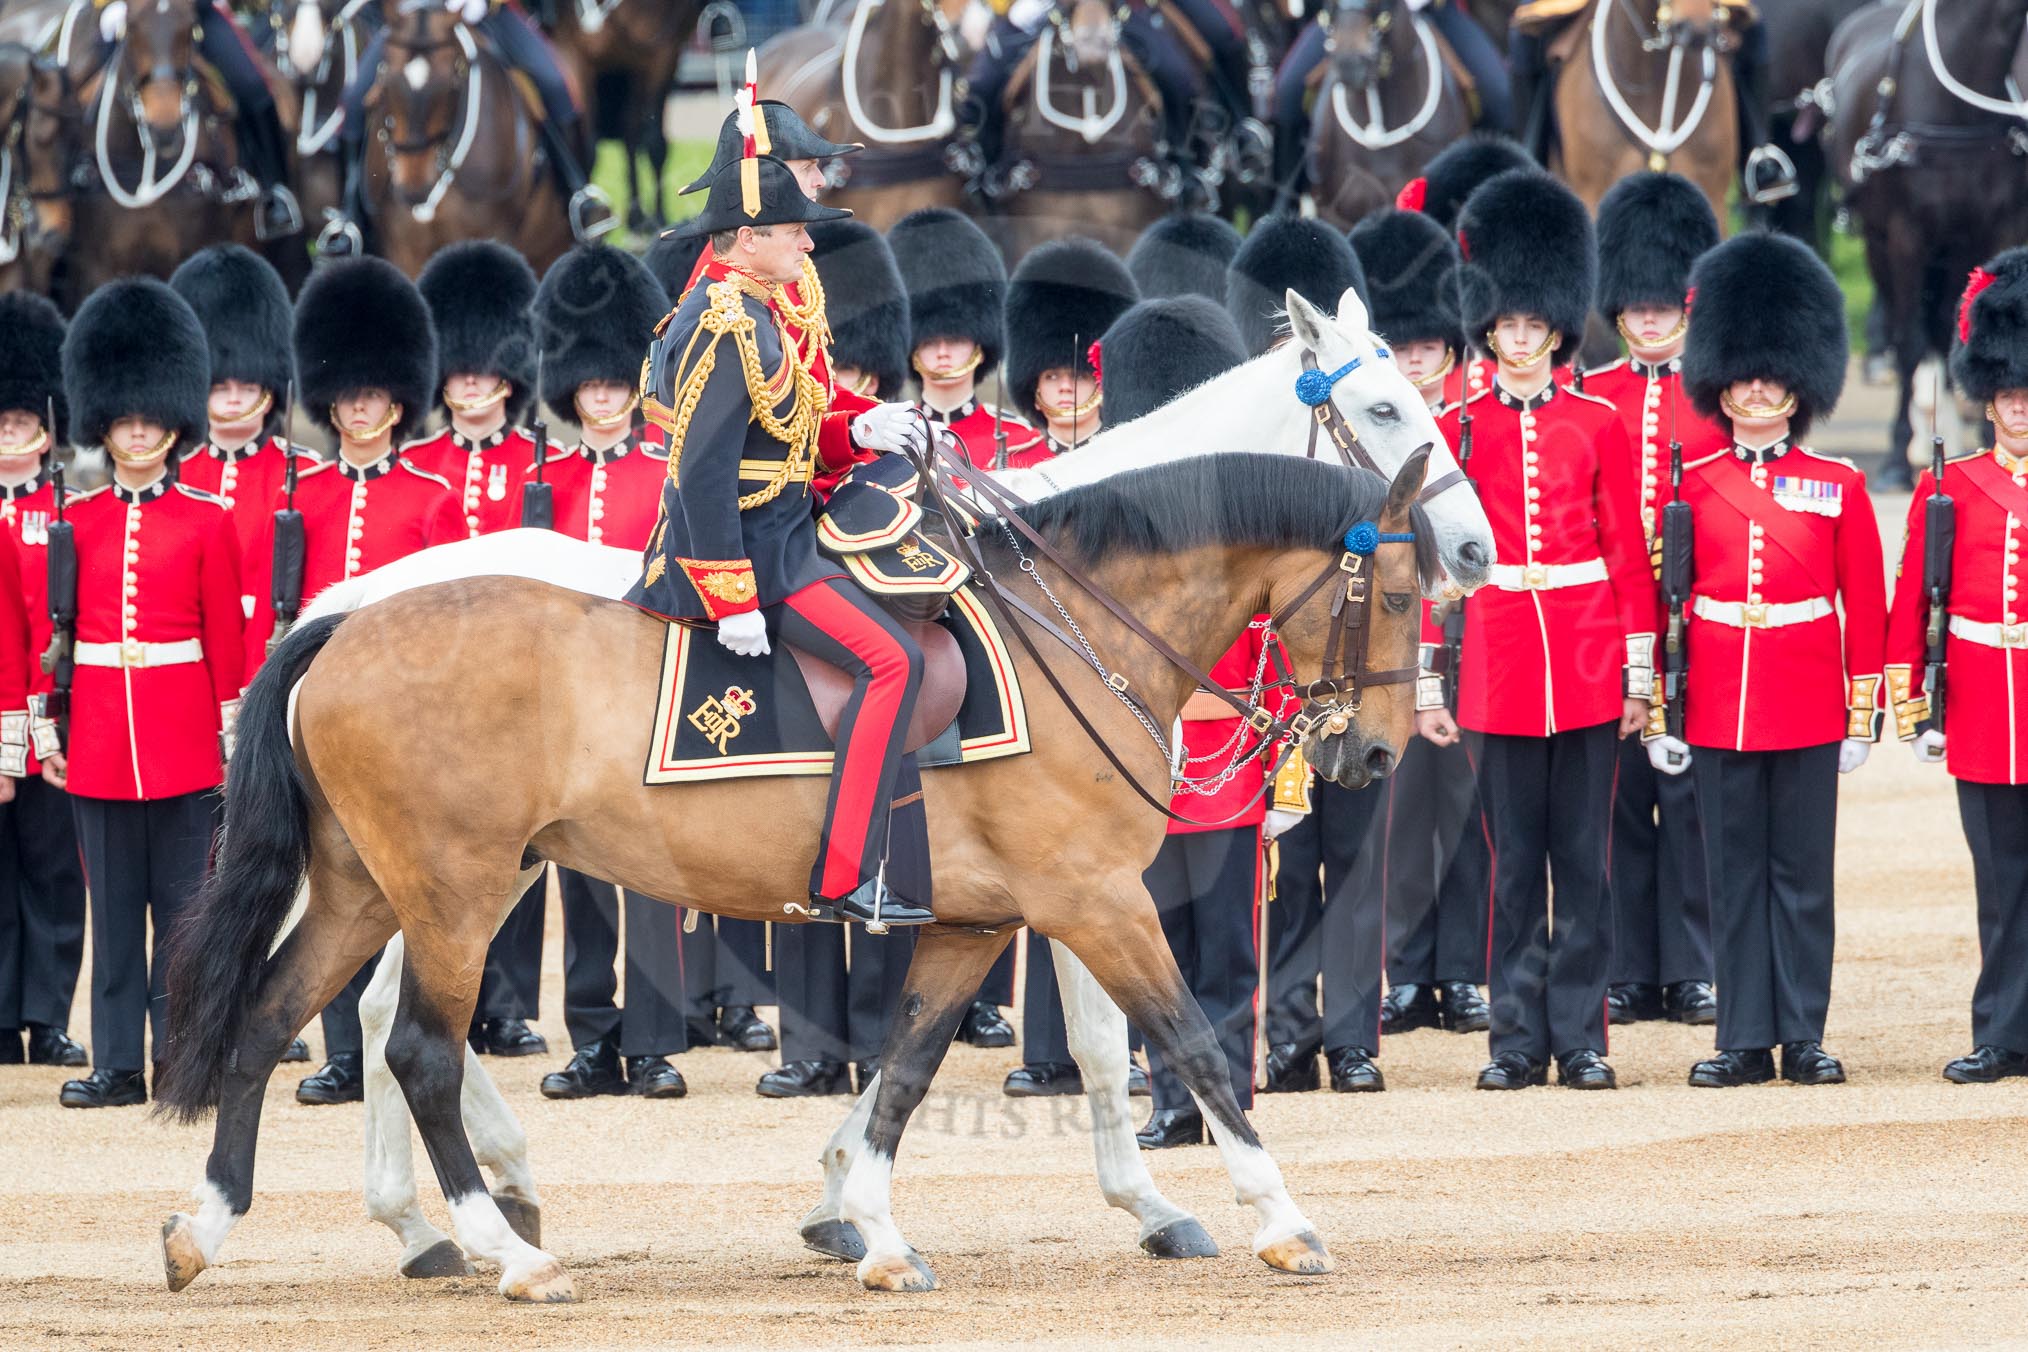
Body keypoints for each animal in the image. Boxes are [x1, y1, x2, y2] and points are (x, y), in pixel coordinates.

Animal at [171, 286, 1493, 1288]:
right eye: (1384, 406)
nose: (1379, 751)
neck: (1068, 622)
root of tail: (348, 616)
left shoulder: (982, 914)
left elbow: (911, 1065)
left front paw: (863, 1215)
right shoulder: (1093, 893)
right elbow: (1173, 1042)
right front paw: (1263, 1215)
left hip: (378, 883)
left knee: (283, 1016)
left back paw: (239, 1220)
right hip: (456, 885)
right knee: (414, 1043)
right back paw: (496, 1235)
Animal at [547, 0, 699, 235]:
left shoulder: (662, 54)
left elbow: (655, 144)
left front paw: (659, 218)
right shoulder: (580, 54)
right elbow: (588, 148)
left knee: (632, 134)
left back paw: (636, 218)